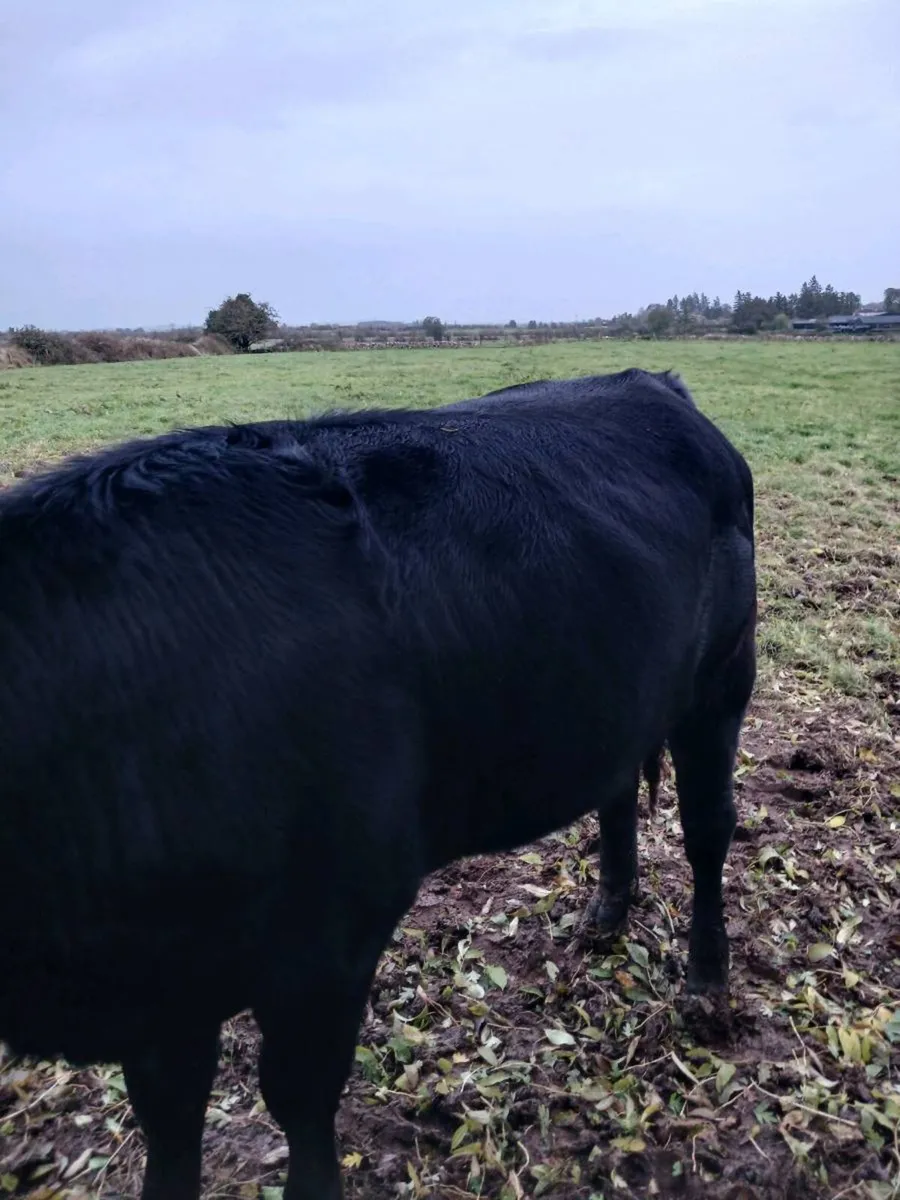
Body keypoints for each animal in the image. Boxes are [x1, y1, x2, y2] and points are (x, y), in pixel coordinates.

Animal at [0, 368, 756, 1200]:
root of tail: (653, 382)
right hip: (621, 690)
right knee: (618, 788)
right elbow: (168, 1131)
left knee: (708, 829)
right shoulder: (165, 995)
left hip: (723, 679)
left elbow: (299, 1100)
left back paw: (706, 979)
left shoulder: (333, 932)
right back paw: (607, 911)